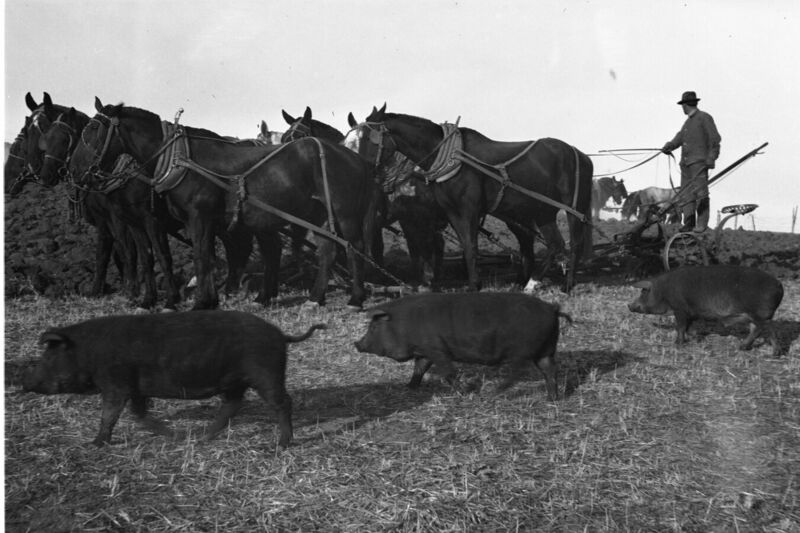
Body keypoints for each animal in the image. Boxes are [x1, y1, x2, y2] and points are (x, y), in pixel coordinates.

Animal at [22, 310, 325, 448]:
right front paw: (169, 434)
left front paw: (94, 444)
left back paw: (281, 444)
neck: (88, 353)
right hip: (236, 381)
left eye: (48, 357)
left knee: (282, 403)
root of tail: (281, 334)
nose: (26, 384)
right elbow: (138, 414)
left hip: (265, 373)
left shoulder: (116, 382)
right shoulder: (136, 388)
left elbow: (110, 414)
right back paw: (200, 438)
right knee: (231, 406)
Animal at [69, 98, 379, 310]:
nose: (74, 169)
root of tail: (355, 157)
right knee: (326, 251)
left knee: (355, 248)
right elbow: (186, 256)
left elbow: (199, 256)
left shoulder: (195, 217)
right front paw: (207, 299)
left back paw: (355, 298)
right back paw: (314, 298)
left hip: (344, 214)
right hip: (318, 215)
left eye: (93, 129)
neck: (179, 159)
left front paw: (197, 301)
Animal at [348, 104, 593, 292]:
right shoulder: (451, 212)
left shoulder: (467, 210)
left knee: (574, 243)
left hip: (572, 208)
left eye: (370, 138)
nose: (361, 169)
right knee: (554, 243)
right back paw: (529, 283)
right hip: (540, 211)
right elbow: (463, 247)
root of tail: (580, 154)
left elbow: (469, 247)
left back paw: (566, 284)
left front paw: (472, 285)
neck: (452, 158)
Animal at [354, 292, 571, 399]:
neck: (403, 324)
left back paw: (494, 393)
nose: (356, 343)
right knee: (550, 370)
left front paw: (465, 391)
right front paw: (409, 387)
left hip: (522, 351)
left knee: (517, 372)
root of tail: (552, 308)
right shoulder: (425, 351)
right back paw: (552, 398)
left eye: (374, 326)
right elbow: (419, 369)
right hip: (546, 349)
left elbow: (448, 372)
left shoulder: (437, 350)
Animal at [628, 265, 783, 355]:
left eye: (643, 292)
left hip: (760, 315)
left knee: (767, 329)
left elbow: (681, 327)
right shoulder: (691, 313)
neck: (663, 291)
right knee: (756, 330)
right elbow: (689, 327)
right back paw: (743, 348)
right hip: (754, 316)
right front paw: (696, 337)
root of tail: (779, 285)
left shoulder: (680, 309)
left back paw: (774, 353)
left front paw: (678, 344)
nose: (629, 305)